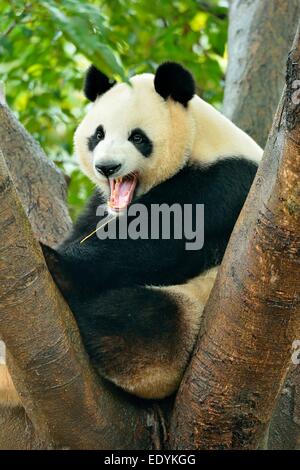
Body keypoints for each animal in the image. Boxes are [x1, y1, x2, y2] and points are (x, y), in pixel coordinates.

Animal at [0, 63, 262, 408]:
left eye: (137, 137)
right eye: (98, 134)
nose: (107, 167)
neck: (198, 139)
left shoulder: (223, 182)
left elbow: (158, 242)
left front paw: (58, 263)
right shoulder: (99, 207)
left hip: (186, 314)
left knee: (141, 318)